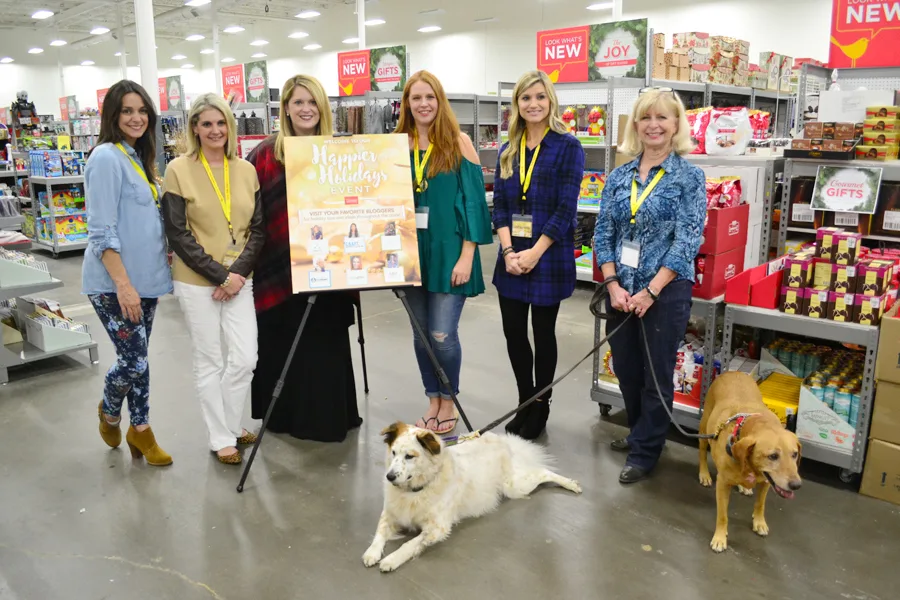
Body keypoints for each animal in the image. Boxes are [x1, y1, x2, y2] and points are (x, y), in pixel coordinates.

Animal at [364, 420, 584, 576]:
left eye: (410, 456)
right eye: (393, 452)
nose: (389, 476)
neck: (415, 490)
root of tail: (500, 439)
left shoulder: (437, 528)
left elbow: (409, 544)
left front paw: (391, 559)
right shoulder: (390, 512)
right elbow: (380, 531)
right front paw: (372, 552)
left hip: (514, 486)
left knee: (543, 472)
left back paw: (570, 484)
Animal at [696, 376, 800, 552]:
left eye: (794, 454)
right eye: (773, 456)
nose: (796, 485)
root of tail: (733, 372)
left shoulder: (766, 482)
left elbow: (760, 504)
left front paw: (759, 522)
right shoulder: (722, 484)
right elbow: (722, 516)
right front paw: (720, 538)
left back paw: (743, 486)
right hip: (705, 428)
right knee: (703, 452)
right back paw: (704, 474)